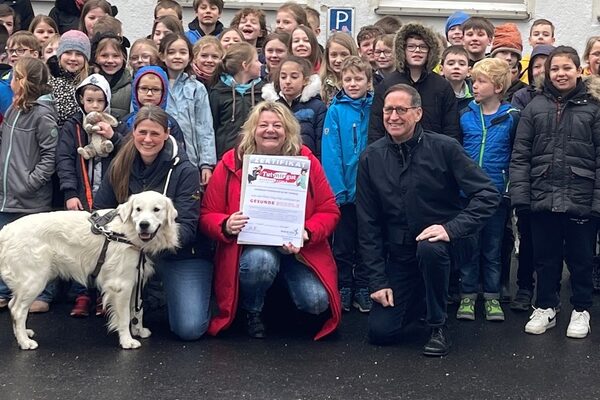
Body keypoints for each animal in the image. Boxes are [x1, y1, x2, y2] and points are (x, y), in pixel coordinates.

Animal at [0, 191, 178, 350]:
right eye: (138, 209)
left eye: (156, 209)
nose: (143, 225)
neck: (128, 232)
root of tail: (6, 229)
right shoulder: (121, 285)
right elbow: (124, 316)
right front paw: (127, 341)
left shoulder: (135, 280)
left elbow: (137, 311)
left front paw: (139, 331)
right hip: (34, 280)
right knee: (17, 310)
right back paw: (24, 342)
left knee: (12, 305)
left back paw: (22, 335)